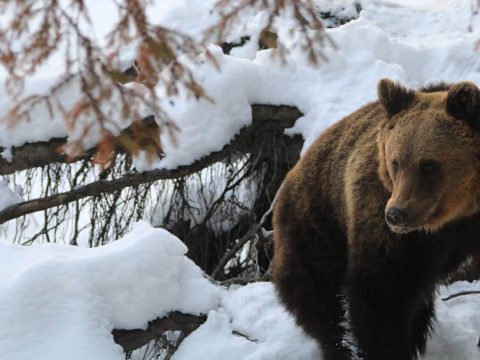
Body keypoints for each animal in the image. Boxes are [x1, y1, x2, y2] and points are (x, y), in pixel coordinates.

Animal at [272, 79, 480, 360]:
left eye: (428, 165)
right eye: (395, 162)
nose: (396, 214)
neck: (458, 214)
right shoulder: (386, 226)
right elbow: (380, 293)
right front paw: (390, 349)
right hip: (316, 224)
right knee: (317, 296)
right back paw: (338, 347)